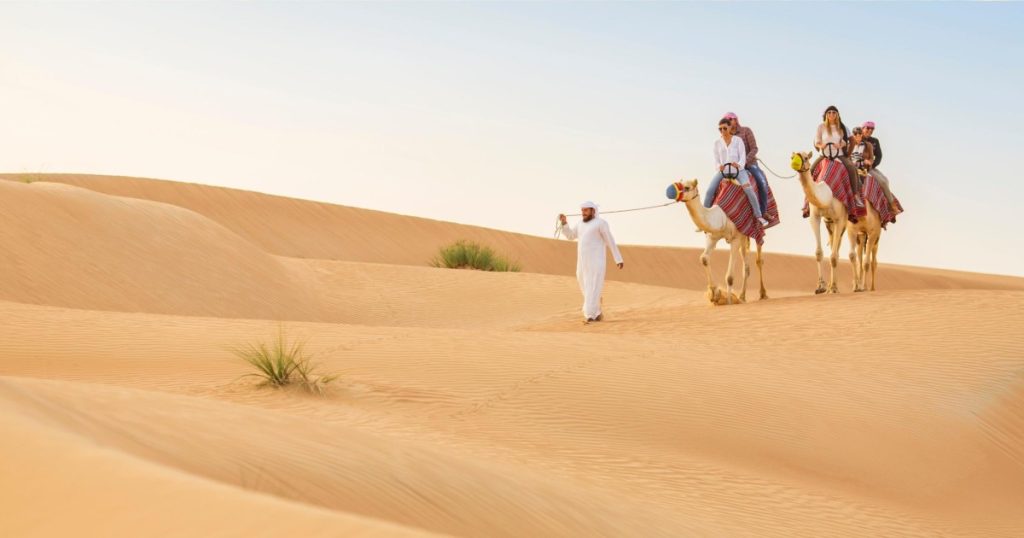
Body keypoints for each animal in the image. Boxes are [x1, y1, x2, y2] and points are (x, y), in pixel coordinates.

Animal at [792, 151, 848, 294]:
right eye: (792, 156)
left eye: (806, 157)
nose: (795, 162)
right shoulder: (815, 216)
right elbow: (818, 253)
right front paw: (820, 286)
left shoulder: (839, 218)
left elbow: (833, 256)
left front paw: (833, 288)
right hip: (829, 223)